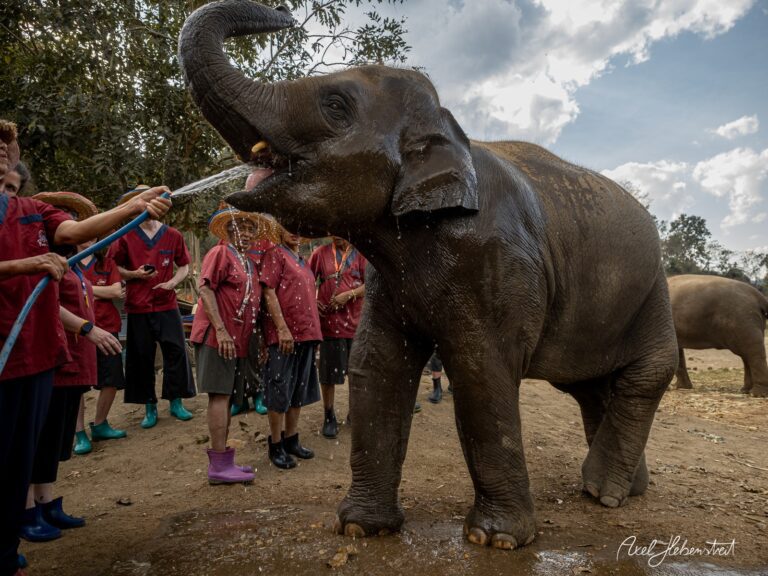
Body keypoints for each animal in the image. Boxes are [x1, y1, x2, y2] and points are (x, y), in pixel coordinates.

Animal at [178, 0, 679, 550]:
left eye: (335, 105)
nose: (284, 15)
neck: (452, 131)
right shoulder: (387, 279)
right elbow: (375, 367)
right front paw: (359, 527)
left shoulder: (497, 263)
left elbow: (481, 373)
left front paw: (496, 540)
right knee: (591, 387)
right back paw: (614, 490)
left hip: (655, 292)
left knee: (644, 377)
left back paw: (605, 494)